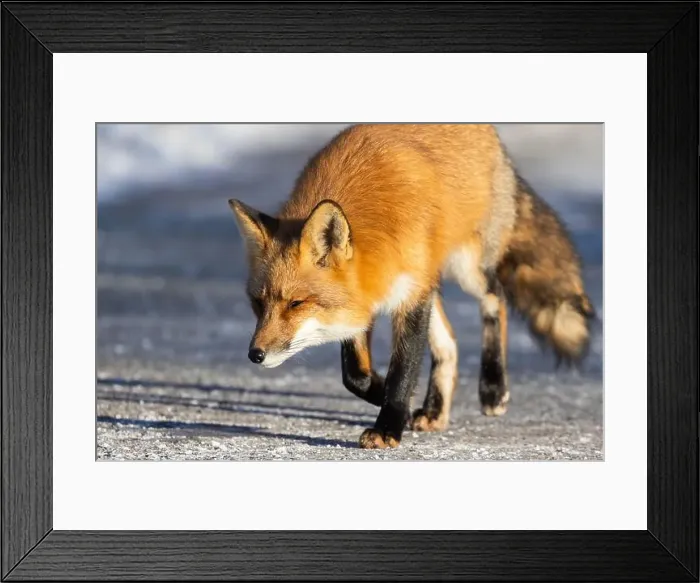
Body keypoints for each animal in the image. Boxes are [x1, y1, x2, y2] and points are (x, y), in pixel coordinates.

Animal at [228, 124, 595, 449]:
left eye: (296, 303)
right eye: (258, 304)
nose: (255, 354)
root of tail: (493, 136)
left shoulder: (410, 298)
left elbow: (402, 369)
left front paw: (388, 425)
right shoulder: (365, 299)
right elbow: (355, 375)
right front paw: (383, 395)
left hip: (465, 267)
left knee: (495, 298)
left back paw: (492, 386)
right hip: (433, 279)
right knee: (449, 343)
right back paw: (435, 409)